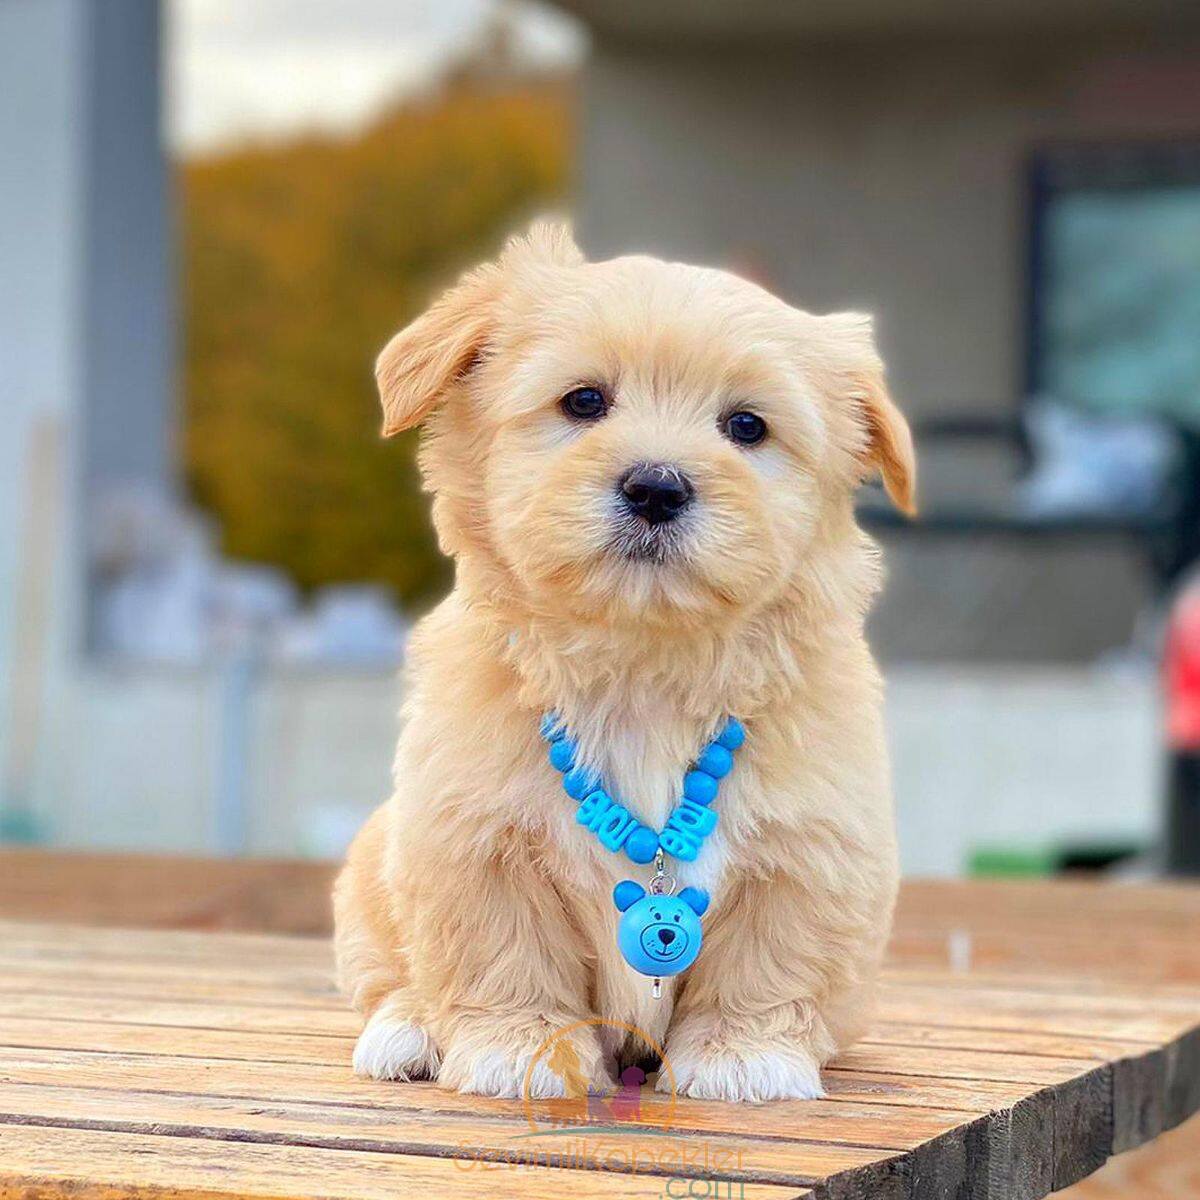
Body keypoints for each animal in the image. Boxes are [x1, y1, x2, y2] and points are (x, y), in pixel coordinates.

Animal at [333, 220, 912, 1099]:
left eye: (747, 427)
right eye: (584, 402)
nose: (656, 487)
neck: (643, 659)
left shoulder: (815, 845)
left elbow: (771, 956)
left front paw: (742, 1057)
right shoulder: (471, 835)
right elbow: (504, 948)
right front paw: (522, 1047)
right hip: (368, 873)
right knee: (390, 977)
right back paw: (406, 1030)